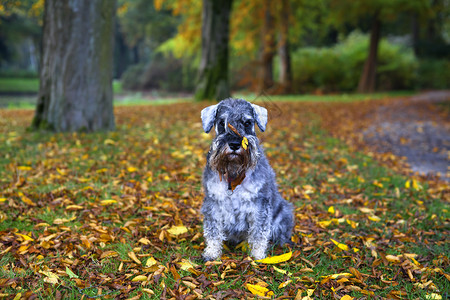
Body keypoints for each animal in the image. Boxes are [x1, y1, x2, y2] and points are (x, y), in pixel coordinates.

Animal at [201, 98, 296, 260]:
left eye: (247, 123)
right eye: (221, 123)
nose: (234, 144)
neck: (234, 172)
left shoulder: (260, 206)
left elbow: (259, 232)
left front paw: (257, 255)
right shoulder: (213, 204)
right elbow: (213, 231)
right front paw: (212, 252)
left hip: (283, 213)